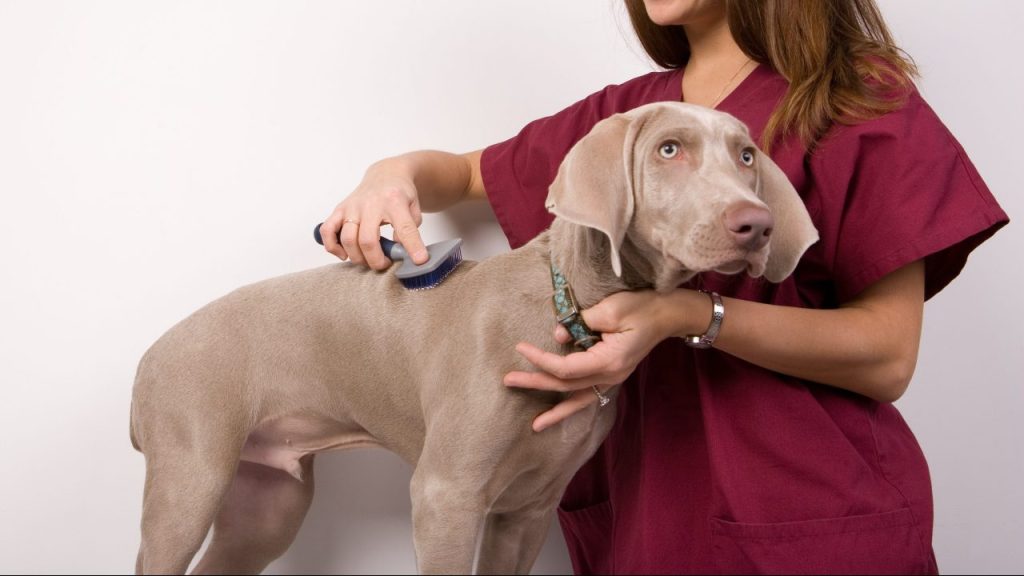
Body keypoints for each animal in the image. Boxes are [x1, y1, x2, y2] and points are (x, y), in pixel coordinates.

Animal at [130, 100, 815, 569]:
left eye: (747, 157)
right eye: (669, 150)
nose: (756, 224)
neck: (565, 302)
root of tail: (147, 358)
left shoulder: (528, 510)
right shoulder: (446, 496)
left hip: (267, 501)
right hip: (190, 478)